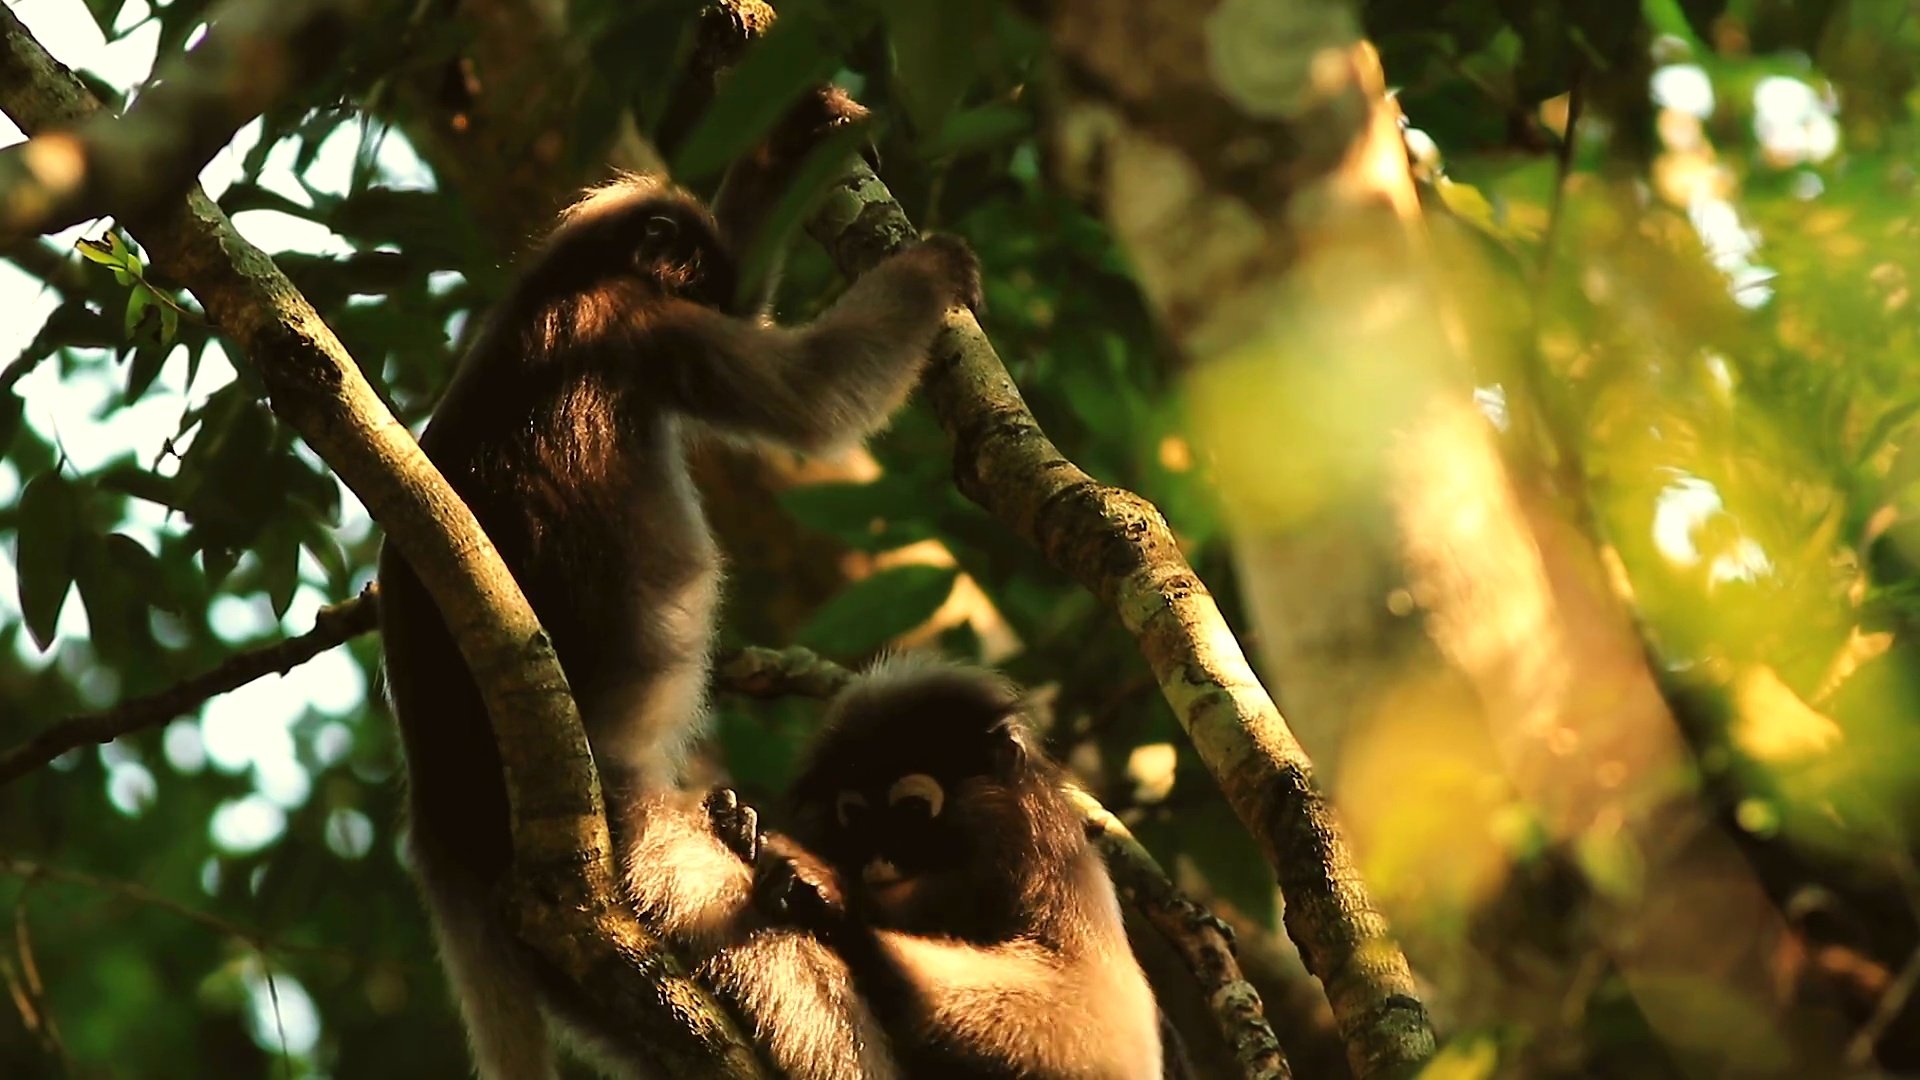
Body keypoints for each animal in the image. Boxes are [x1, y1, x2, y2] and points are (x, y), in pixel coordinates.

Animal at [376, 85, 983, 1076]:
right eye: (695, 277)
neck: (550, 290)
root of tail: (444, 823)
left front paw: (800, 128)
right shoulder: (645, 324)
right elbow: (812, 400)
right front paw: (931, 270)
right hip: (639, 848)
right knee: (781, 953)